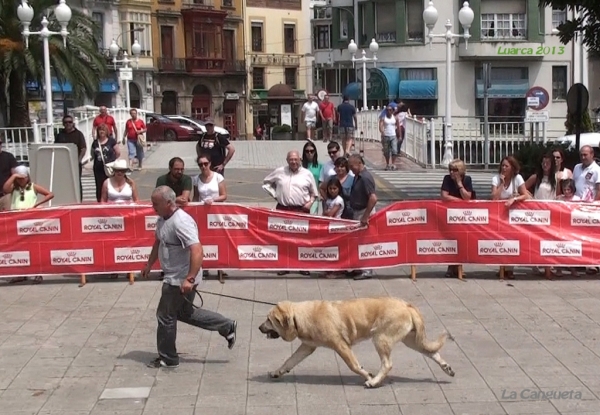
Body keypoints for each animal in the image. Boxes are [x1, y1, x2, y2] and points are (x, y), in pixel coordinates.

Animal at [258, 298, 454, 388]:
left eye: (269, 320)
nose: (259, 327)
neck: (299, 317)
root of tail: (407, 305)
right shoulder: (307, 347)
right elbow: (289, 361)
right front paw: (277, 372)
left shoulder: (341, 345)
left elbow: (353, 365)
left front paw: (367, 375)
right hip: (412, 340)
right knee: (432, 352)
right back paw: (446, 367)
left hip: (380, 338)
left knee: (387, 364)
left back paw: (374, 382)